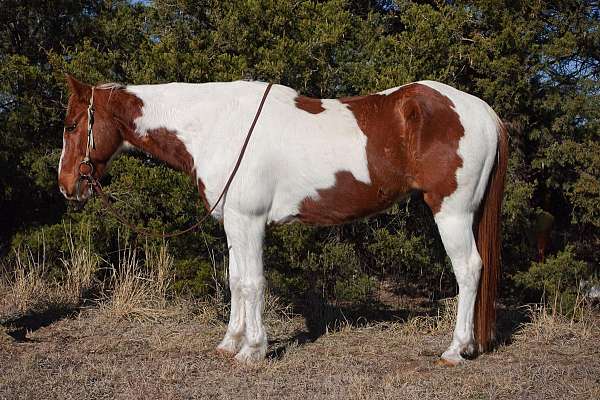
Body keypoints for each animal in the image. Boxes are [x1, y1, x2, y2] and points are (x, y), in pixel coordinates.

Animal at [58, 75, 506, 366]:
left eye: (71, 124)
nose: (66, 185)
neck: (219, 125)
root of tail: (482, 111)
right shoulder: (233, 223)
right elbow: (236, 281)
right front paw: (230, 343)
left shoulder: (250, 221)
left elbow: (254, 283)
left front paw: (253, 351)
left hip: (452, 212)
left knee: (469, 270)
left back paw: (455, 350)